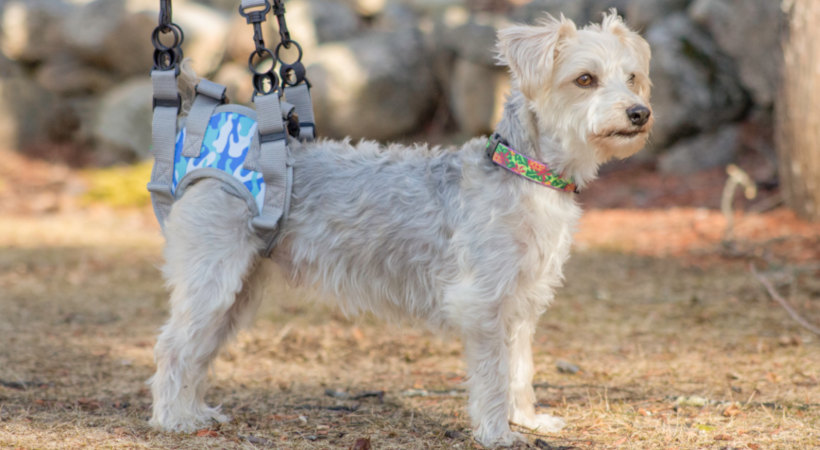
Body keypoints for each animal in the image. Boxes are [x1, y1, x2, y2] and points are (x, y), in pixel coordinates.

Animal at [149, 9, 652, 446]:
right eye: (584, 79)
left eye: (631, 77)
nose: (639, 113)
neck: (525, 173)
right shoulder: (483, 303)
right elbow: (493, 374)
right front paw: (497, 433)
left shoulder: (522, 303)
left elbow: (521, 369)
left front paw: (527, 419)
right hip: (214, 280)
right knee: (173, 347)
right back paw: (173, 419)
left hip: (237, 293)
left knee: (196, 351)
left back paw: (195, 412)